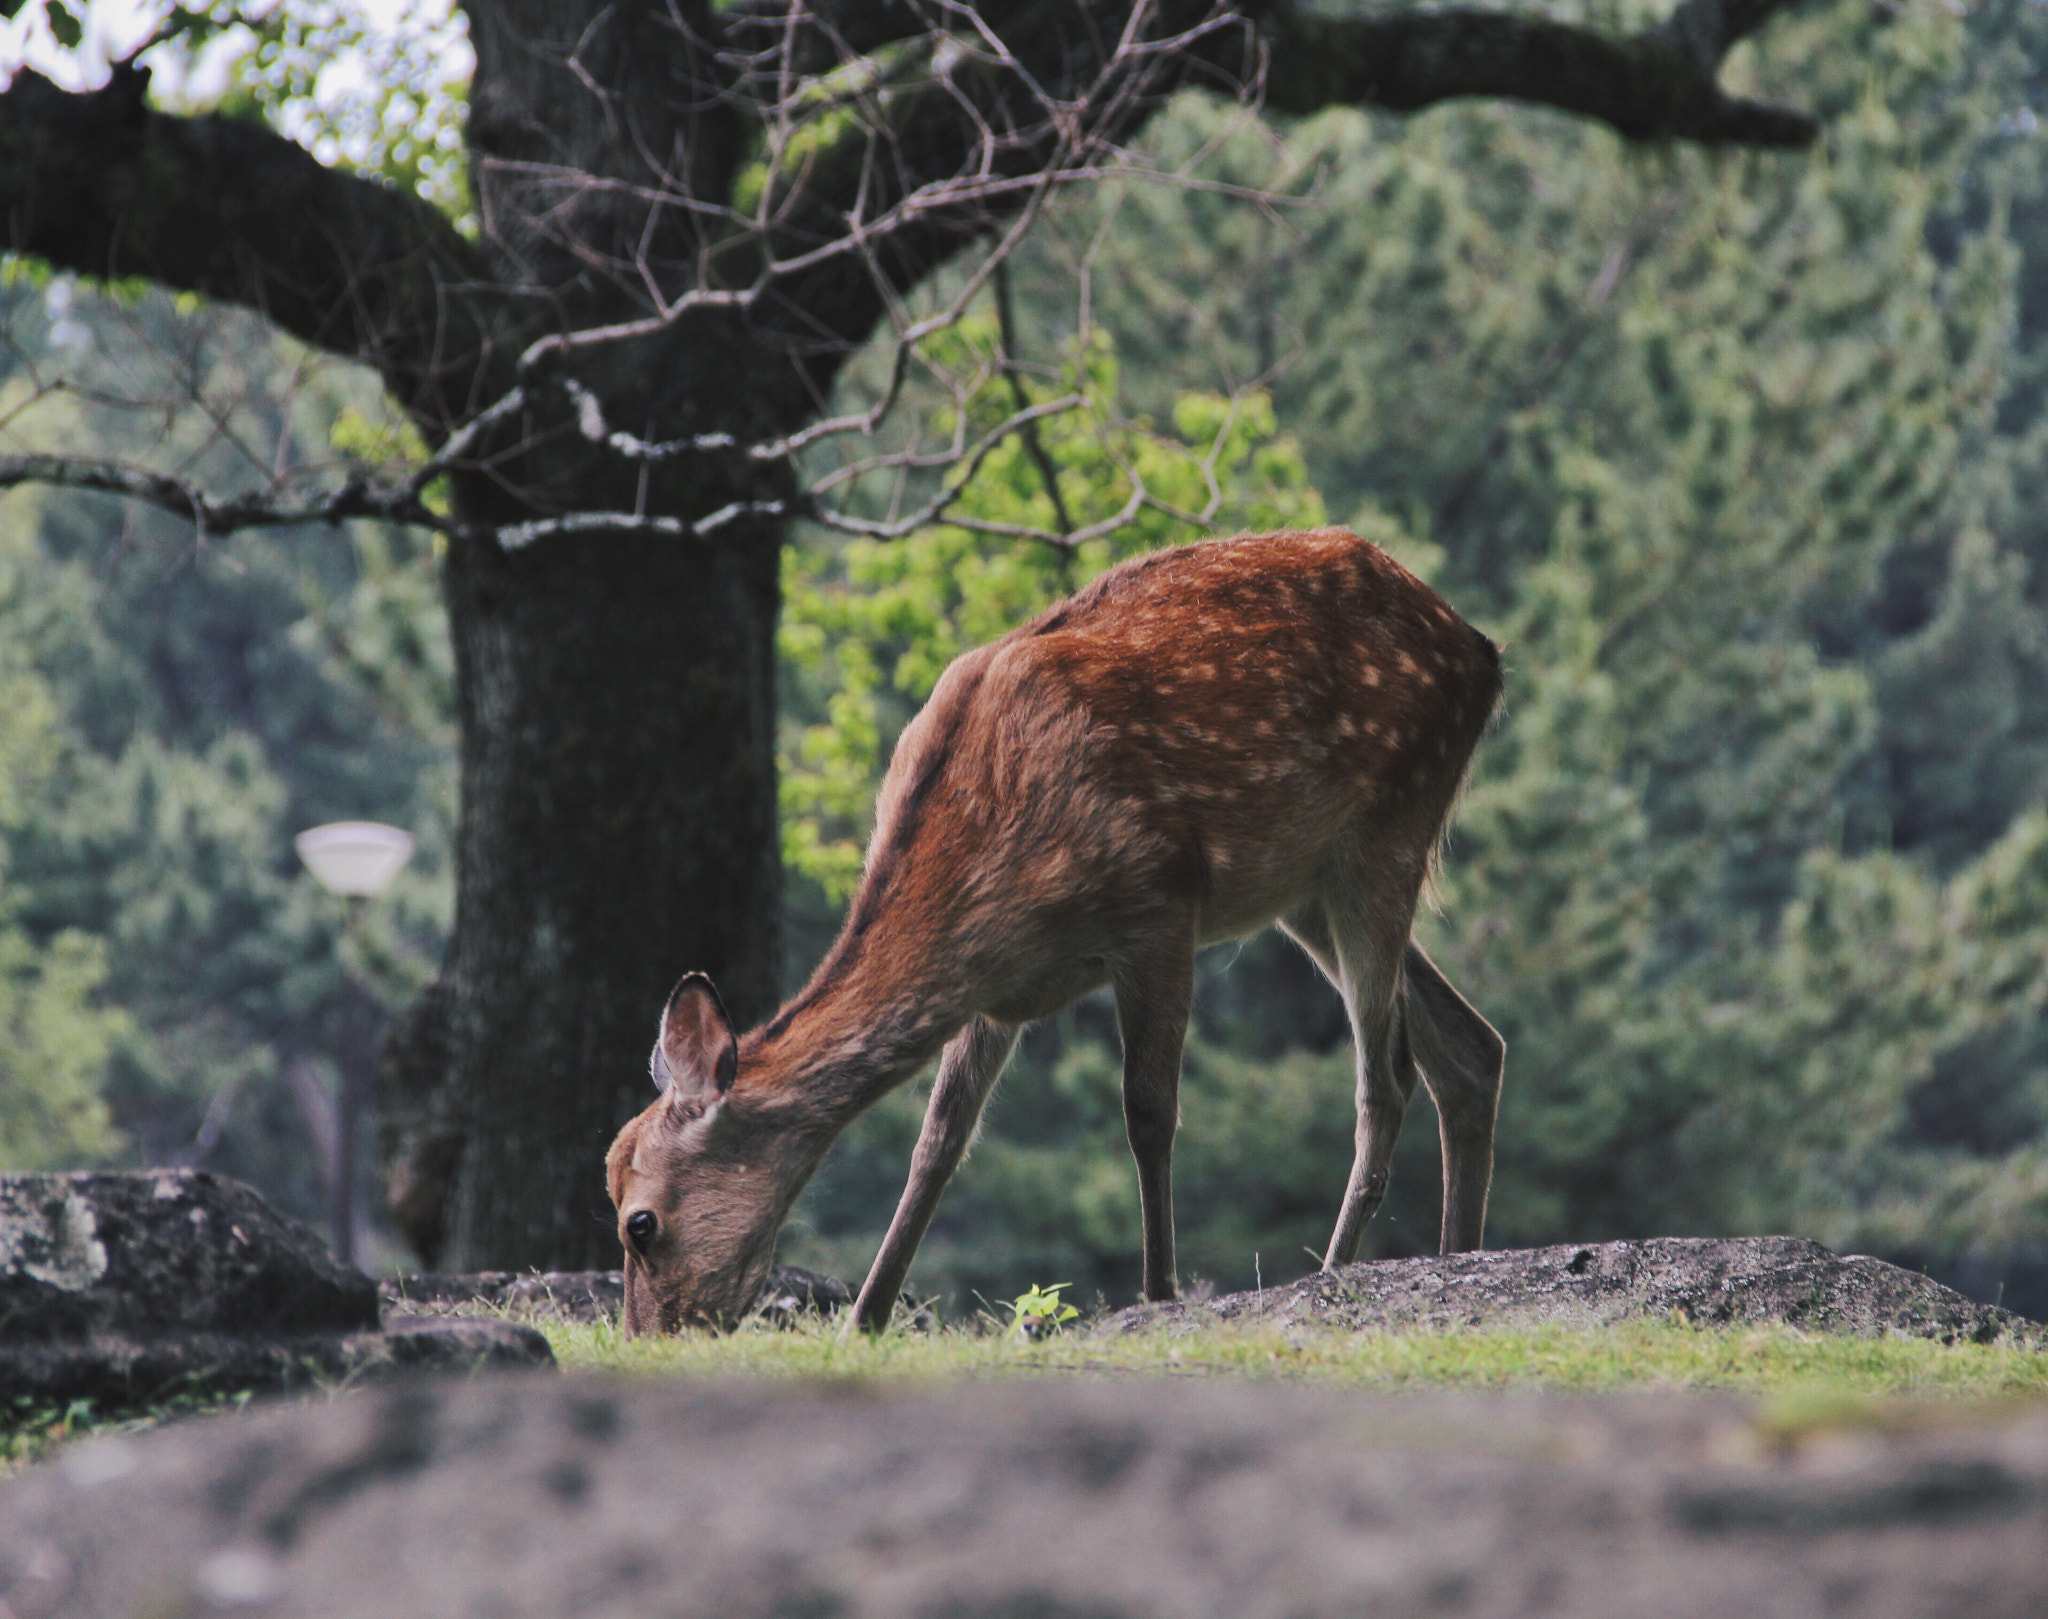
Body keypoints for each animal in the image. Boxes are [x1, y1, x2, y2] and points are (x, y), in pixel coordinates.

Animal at [606, 523, 1507, 1334]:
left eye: (639, 1222)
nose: (651, 1334)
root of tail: (1480, 652)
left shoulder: (1159, 903)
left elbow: (1148, 1110)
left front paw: (1157, 1291)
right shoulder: (993, 993)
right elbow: (939, 1140)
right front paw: (864, 1317)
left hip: (1389, 824)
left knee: (1386, 1075)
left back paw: (1336, 1267)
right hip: (1307, 887)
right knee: (1471, 1045)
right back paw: (1455, 1252)